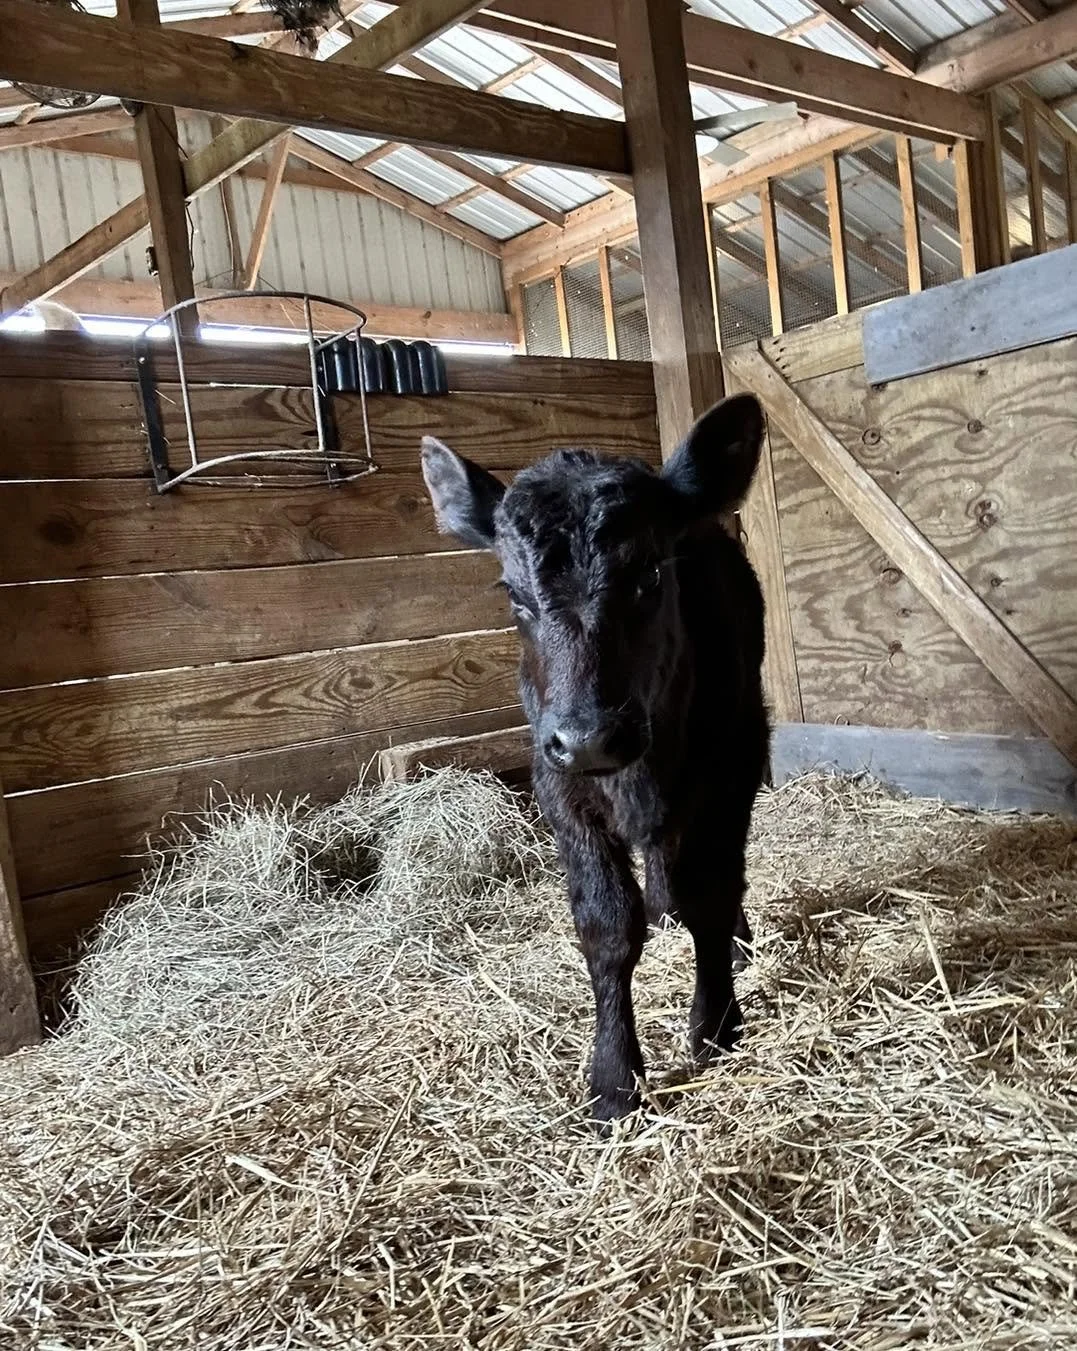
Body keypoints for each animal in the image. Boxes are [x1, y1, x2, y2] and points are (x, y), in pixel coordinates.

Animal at [420, 394, 770, 1124]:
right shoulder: (558, 786)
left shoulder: (734, 760)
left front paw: (715, 1022)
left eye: (652, 574)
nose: (589, 738)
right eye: (512, 594)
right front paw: (613, 1076)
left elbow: (715, 888)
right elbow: (607, 927)